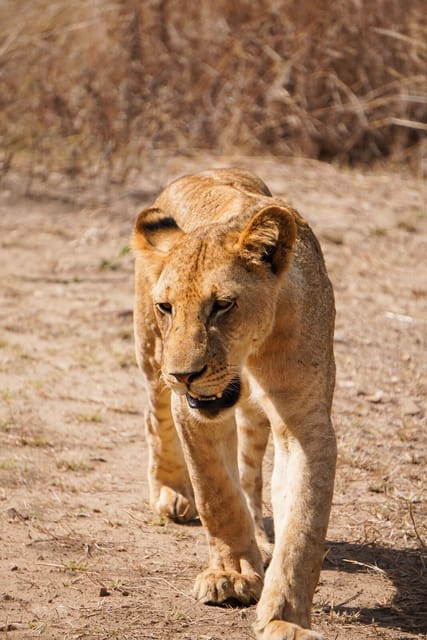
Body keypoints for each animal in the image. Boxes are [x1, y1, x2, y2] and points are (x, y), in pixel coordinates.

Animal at [132, 168, 337, 640]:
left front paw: (284, 617)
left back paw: (261, 538)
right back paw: (171, 492)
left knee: (250, 471)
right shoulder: (193, 413)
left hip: (254, 419)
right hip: (150, 354)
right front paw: (233, 574)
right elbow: (216, 495)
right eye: (167, 306)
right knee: (155, 419)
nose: (183, 374)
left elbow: (303, 523)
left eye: (222, 305)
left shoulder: (306, 421)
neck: (253, 355)